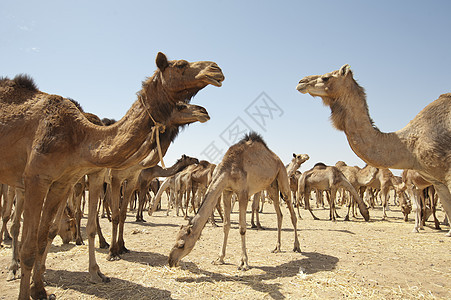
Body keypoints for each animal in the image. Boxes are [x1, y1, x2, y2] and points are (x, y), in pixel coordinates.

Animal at [0, 52, 225, 298]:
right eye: (181, 65)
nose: (216, 69)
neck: (80, 136)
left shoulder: (76, 180)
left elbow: (49, 234)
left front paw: (41, 288)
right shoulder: (42, 179)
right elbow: (33, 244)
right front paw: (112, 253)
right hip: (27, 183)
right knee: (19, 221)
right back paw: (14, 267)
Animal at [168, 132, 302, 270]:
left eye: (181, 245)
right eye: (175, 240)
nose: (170, 260)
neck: (228, 170)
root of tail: (278, 160)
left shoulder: (243, 193)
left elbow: (242, 228)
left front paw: (244, 263)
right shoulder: (226, 191)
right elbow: (226, 225)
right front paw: (220, 259)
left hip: (282, 177)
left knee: (291, 212)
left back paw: (297, 246)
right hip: (271, 186)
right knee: (279, 214)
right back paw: (277, 247)